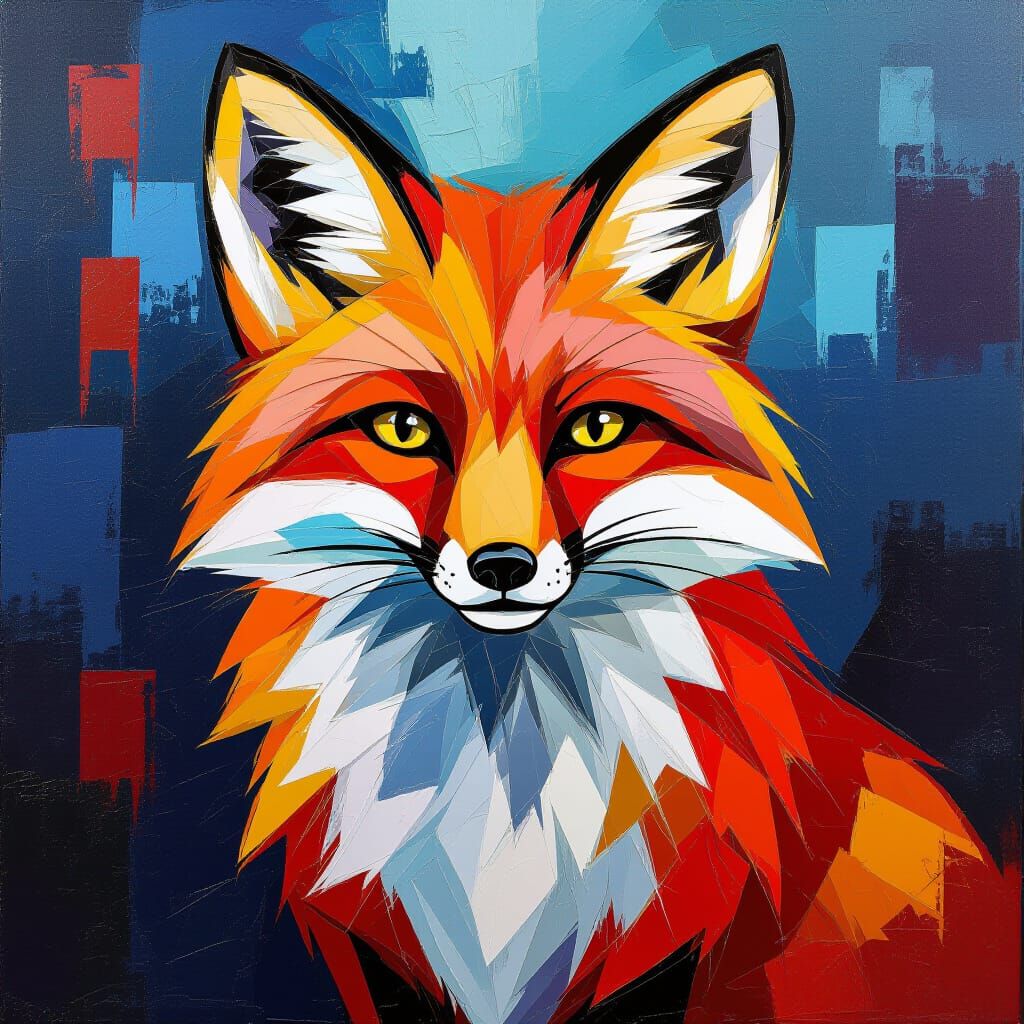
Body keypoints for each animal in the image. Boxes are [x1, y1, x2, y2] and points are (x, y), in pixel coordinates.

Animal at [177, 43, 1018, 1024]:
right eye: (403, 430)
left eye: (596, 429)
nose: (503, 567)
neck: (502, 804)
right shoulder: (382, 957)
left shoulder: (669, 947)